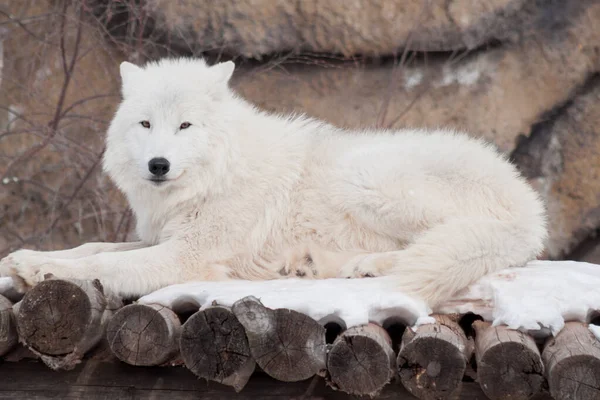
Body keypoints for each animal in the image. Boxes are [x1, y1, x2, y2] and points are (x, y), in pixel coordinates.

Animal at [0, 57, 548, 306]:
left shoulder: (188, 255)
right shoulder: (160, 237)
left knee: (427, 246)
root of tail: (530, 207)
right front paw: (25, 259)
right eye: (146, 124)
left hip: (365, 176)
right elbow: (92, 246)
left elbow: (100, 264)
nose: (158, 165)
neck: (214, 177)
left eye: (185, 126)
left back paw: (363, 267)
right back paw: (318, 264)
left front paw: (44, 273)